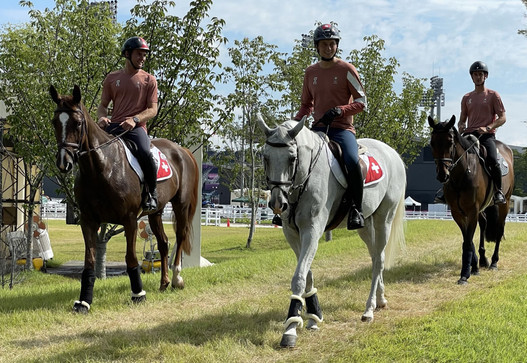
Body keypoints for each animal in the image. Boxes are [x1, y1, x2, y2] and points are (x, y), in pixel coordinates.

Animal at [50, 85, 198, 312]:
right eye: (55, 122)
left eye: (78, 123)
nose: (63, 162)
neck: (103, 167)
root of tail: (181, 150)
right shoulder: (88, 220)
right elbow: (89, 261)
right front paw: (84, 301)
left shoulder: (129, 220)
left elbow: (131, 258)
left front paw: (138, 294)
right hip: (156, 212)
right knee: (163, 243)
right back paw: (163, 283)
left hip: (181, 205)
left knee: (180, 237)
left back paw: (176, 279)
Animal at [432, 115, 512, 286]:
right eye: (432, 143)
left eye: (450, 142)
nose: (442, 175)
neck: (461, 174)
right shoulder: (457, 212)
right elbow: (467, 239)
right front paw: (473, 267)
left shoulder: (472, 210)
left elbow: (468, 242)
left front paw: (464, 274)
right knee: (483, 224)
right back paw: (483, 260)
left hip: (505, 203)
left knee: (499, 229)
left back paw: (494, 262)